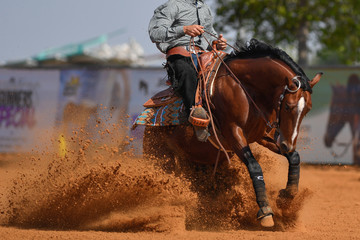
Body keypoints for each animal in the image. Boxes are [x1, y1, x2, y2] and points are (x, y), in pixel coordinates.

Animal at [142, 39, 322, 227]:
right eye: (287, 106)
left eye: (307, 109)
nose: (287, 144)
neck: (245, 89)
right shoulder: (233, 133)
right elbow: (254, 166)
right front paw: (266, 211)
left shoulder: (262, 136)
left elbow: (294, 157)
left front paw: (286, 197)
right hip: (159, 156)